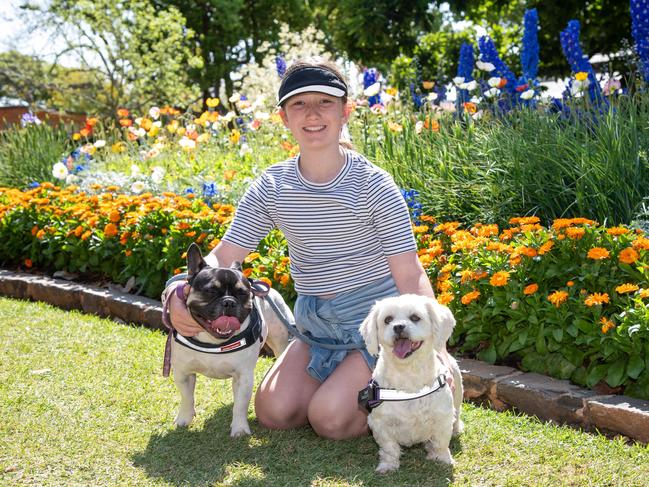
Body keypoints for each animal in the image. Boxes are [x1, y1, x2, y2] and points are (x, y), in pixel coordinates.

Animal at [360, 294, 460, 472]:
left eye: (415, 317)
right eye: (388, 319)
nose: (398, 326)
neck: (408, 376)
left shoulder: (442, 418)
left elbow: (440, 442)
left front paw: (441, 458)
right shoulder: (380, 423)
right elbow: (389, 447)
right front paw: (388, 465)